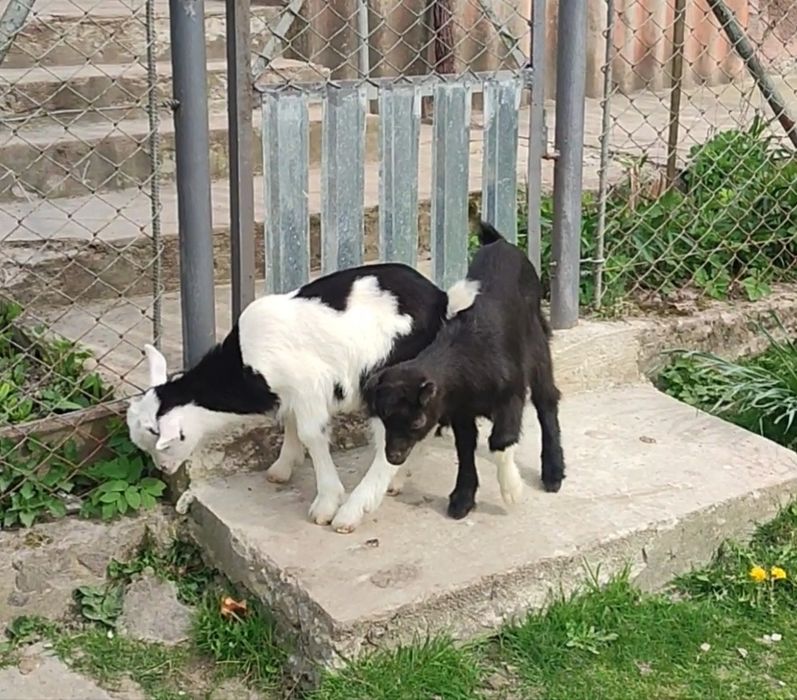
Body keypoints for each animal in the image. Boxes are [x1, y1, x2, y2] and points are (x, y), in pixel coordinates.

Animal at [126, 263, 478, 532]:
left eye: (166, 442)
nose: (165, 470)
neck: (245, 361)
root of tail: (443, 302)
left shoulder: (310, 386)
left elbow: (311, 434)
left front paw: (326, 503)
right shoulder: (292, 393)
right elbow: (291, 421)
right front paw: (283, 467)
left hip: (391, 388)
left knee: (390, 444)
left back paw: (351, 512)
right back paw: (397, 480)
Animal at [364, 222, 565, 519]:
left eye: (417, 422)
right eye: (385, 418)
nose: (394, 457)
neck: (466, 359)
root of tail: (500, 243)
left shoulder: (510, 396)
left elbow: (501, 440)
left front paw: (512, 490)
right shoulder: (460, 409)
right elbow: (465, 447)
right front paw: (462, 498)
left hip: (537, 345)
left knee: (547, 401)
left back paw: (553, 472)